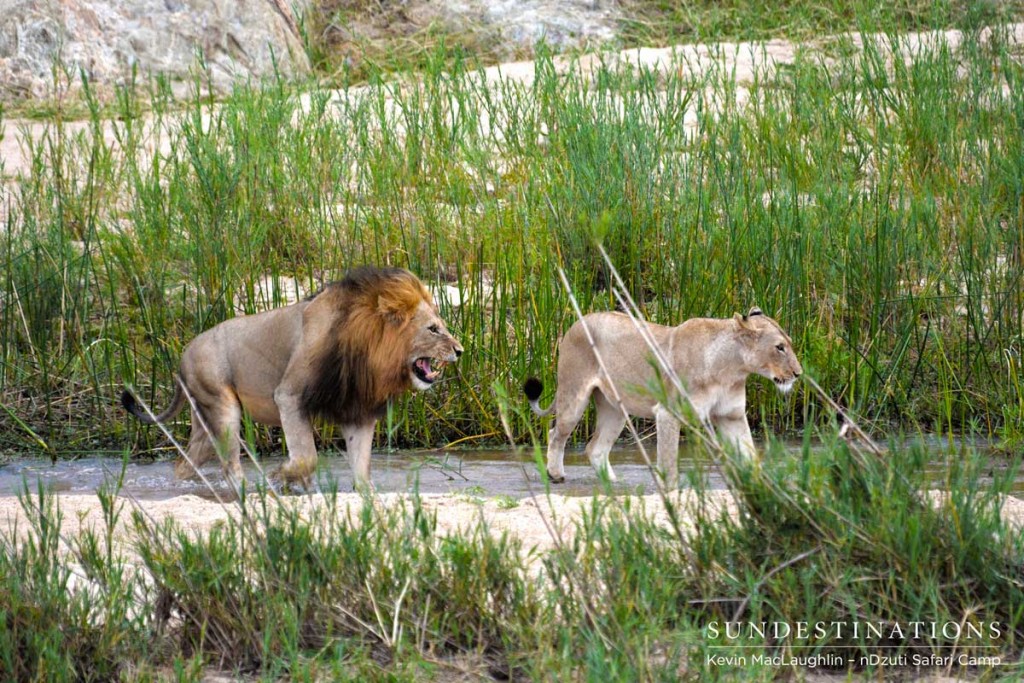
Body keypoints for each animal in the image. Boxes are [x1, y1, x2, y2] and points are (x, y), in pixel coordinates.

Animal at [120, 264, 468, 489]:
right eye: (433, 329)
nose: (461, 350)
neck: (369, 354)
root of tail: (182, 356)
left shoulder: (356, 410)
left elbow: (361, 467)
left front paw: (363, 494)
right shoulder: (289, 396)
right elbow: (307, 456)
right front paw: (281, 476)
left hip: (206, 423)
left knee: (185, 464)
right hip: (222, 407)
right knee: (230, 465)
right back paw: (248, 490)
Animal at [528, 307, 798, 489]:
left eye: (789, 344)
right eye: (779, 347)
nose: (798, 373)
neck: (732, 369)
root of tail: (578, 321)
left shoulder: (732, 416)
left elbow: (750, 454)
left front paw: (764, 488)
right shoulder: (669, 413)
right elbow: (668, 458)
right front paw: (671, 490)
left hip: (615, 410)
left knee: (595, 448)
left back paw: (613, 482)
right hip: (574, 395)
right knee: (555, 433)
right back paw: (555, 475)